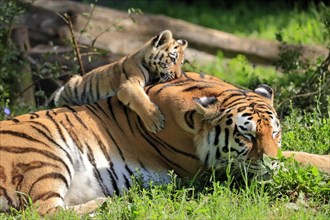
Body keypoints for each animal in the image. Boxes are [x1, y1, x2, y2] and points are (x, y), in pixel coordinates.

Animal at [0, 72, 330, 215]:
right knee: (42, 212)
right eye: (246, 135)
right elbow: (299, 158)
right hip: (42, 155)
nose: (271, 162)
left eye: (275, 132)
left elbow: (296, 154)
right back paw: (110, 203)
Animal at [55, 29, 187, 132]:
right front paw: (155, 120)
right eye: (172, 59)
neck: (153, 71)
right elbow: (140, 99)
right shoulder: (129, 84)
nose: (178, 76)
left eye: (181, 63)